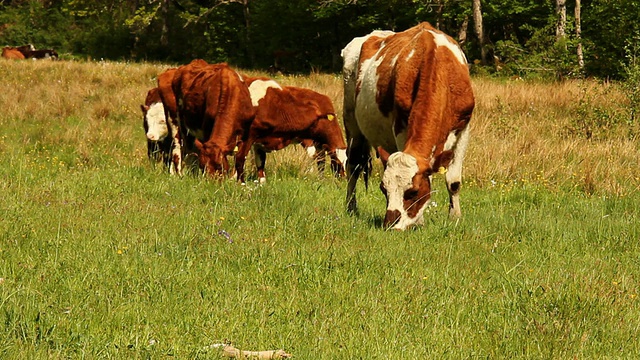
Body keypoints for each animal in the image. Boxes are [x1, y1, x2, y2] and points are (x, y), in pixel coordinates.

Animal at [340, 21, 476, 231]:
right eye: (383, 189)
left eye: (413, 192)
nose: (390, 225)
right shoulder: (401, 126)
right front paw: (419, 221)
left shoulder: (463, 129)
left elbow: (454, 181)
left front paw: (455, 217)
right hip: (351, 122)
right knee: (353, 165)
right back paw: (351, 207)